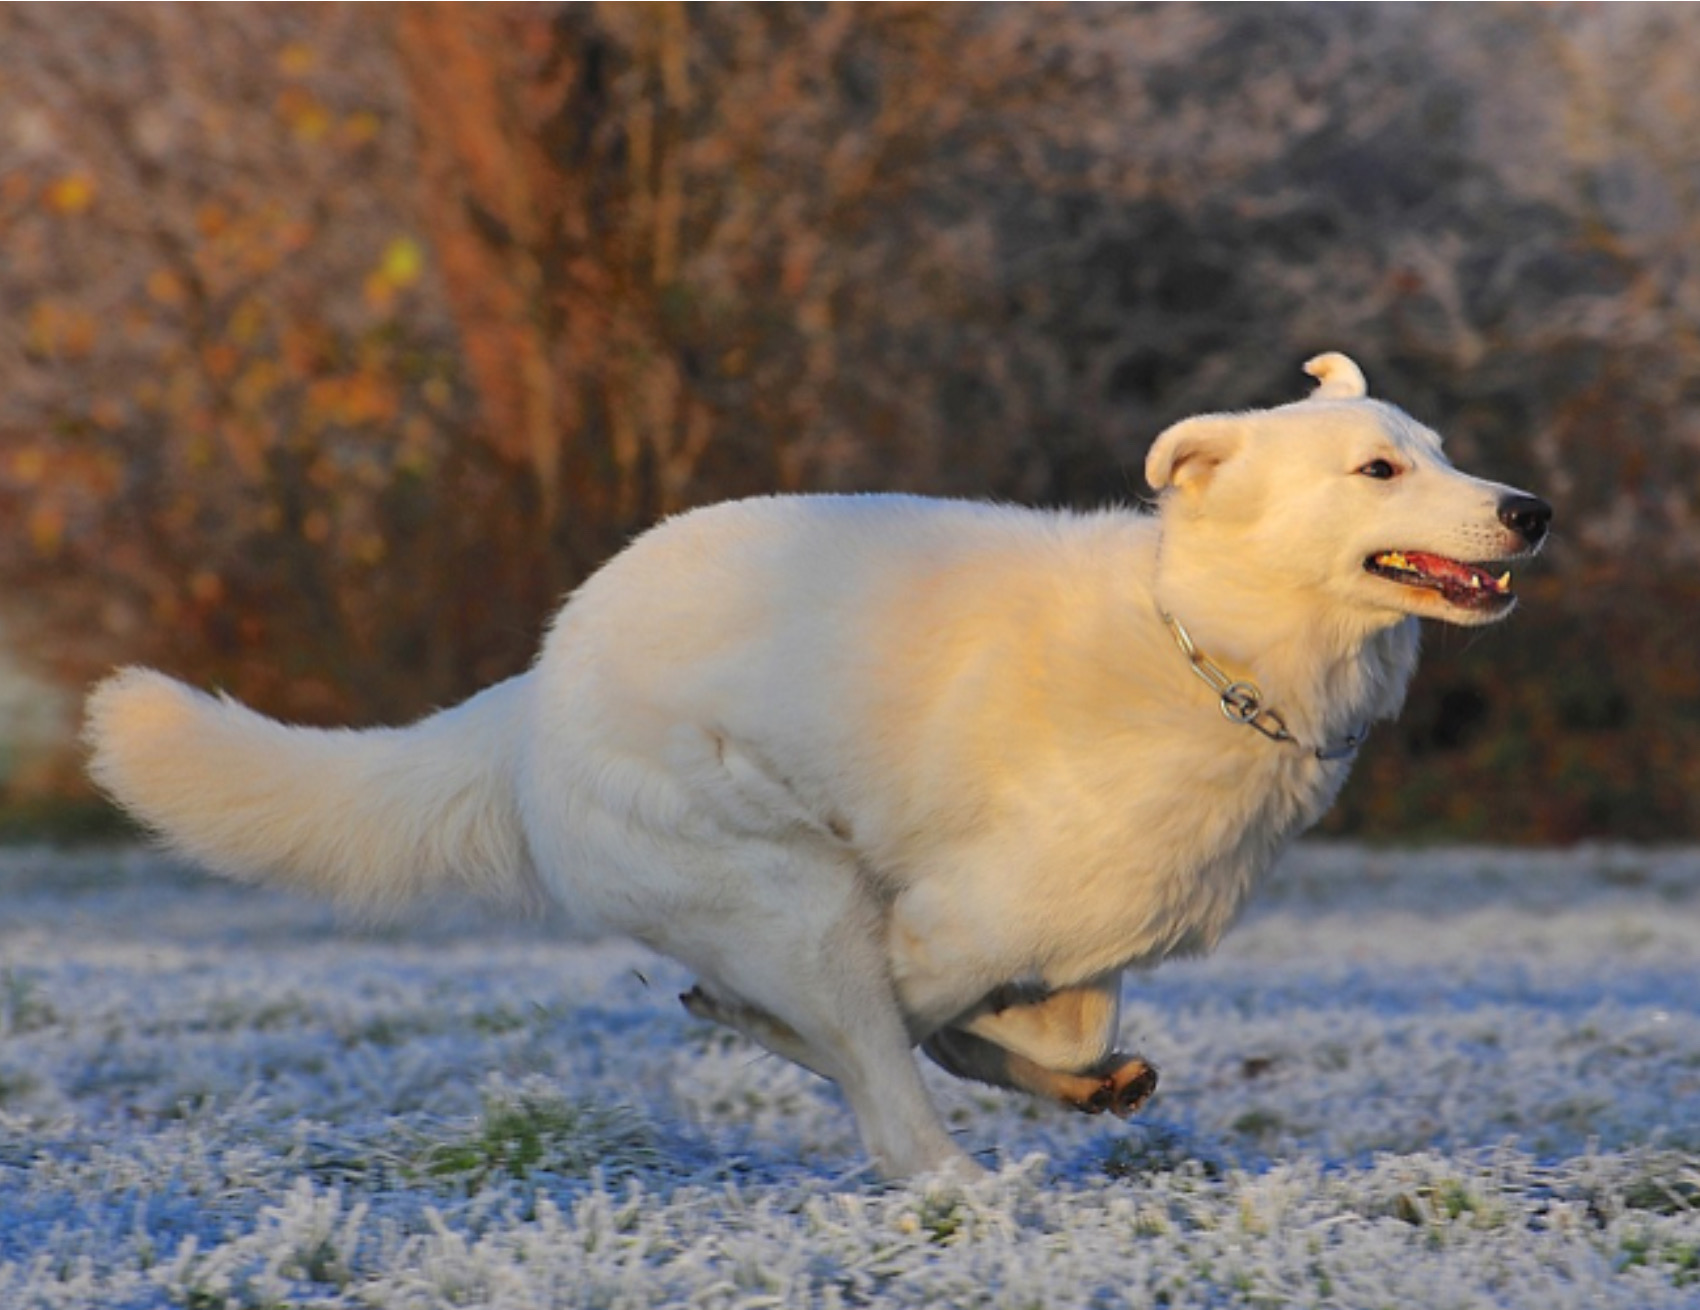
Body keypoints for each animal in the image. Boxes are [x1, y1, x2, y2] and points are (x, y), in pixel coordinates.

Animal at [89, 353, 1557, 1182]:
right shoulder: (942, 919)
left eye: (1440, 451)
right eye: (1377, 468)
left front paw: (1073, 1072)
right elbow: (911, 1022)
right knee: (887, 1105)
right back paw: (958, 1176)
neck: (1206, 640)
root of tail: (535, 686)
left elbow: (1055, 1020)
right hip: (795, 892)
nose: (1531, 509)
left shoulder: (1077, 931)